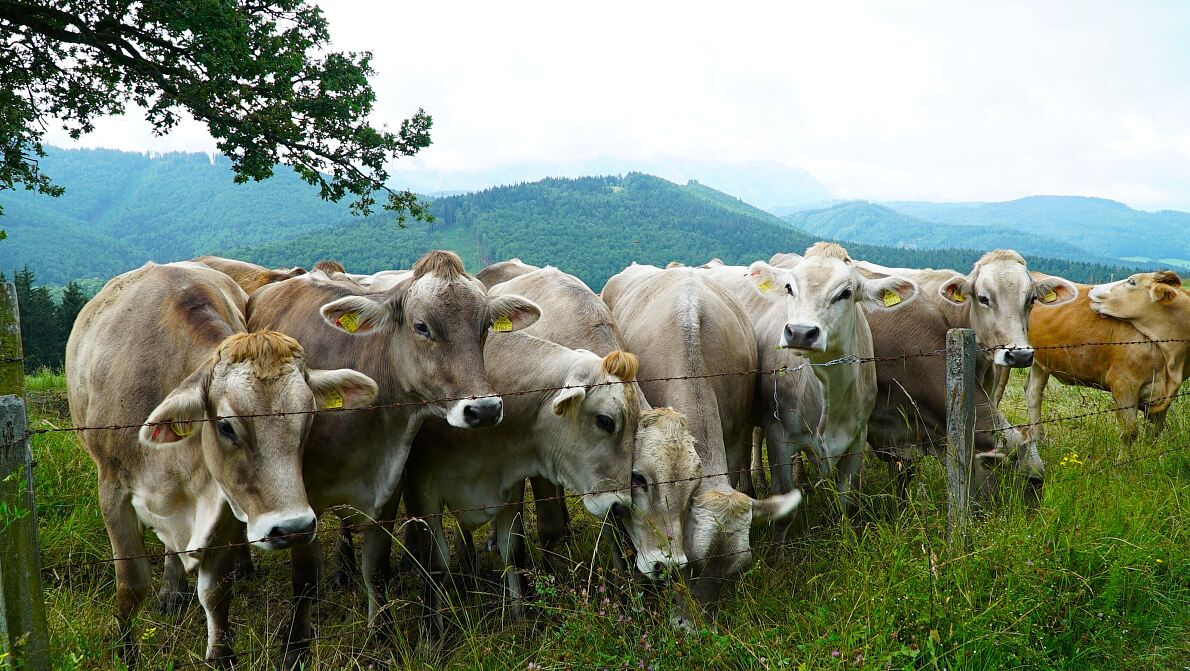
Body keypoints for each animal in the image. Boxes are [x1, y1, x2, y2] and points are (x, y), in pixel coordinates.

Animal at [67, 261, 373, 666]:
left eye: (309, 417)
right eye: (226, 426)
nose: (292, 528)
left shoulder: (223, 504)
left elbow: (216, 592)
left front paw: (222, 655)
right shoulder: (113, 491)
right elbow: (131, 585)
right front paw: (126, 653)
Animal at [246, 252, 540, 671]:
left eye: (485, 326)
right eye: (421, 327)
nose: (483, 409)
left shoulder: (389, 488)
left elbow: (377, 568)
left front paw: (380, 635)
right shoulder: (296, 501)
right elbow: (304, 580)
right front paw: (295, 650)